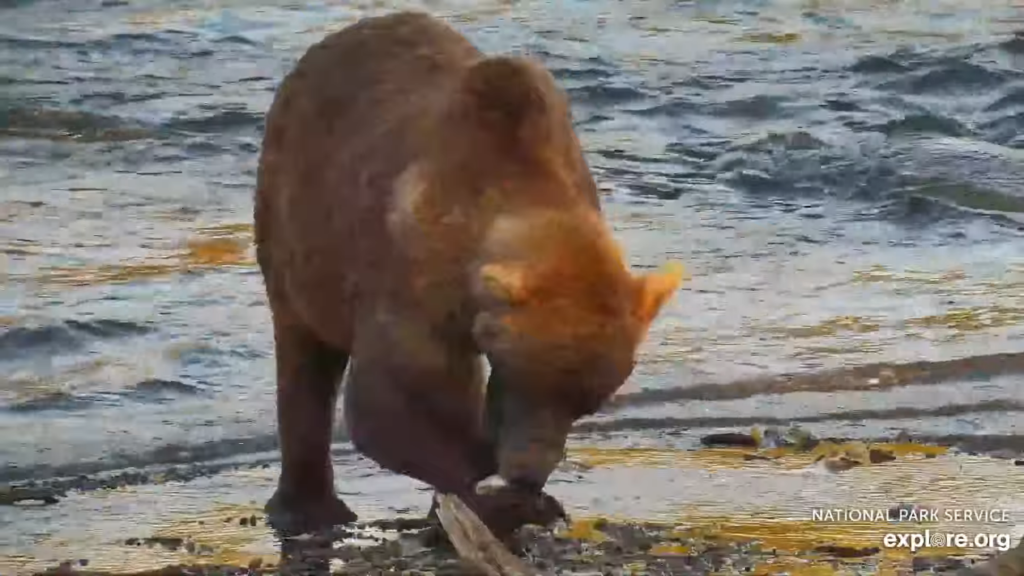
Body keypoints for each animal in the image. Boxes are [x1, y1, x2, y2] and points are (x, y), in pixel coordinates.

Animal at [254, 10, 684, 537]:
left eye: (587, 402)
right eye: (526, 380)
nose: (527, 471)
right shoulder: (412, 272)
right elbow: (391, 400)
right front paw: (490, 488)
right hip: (296, 228)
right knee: (303, 356)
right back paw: (308, 508)